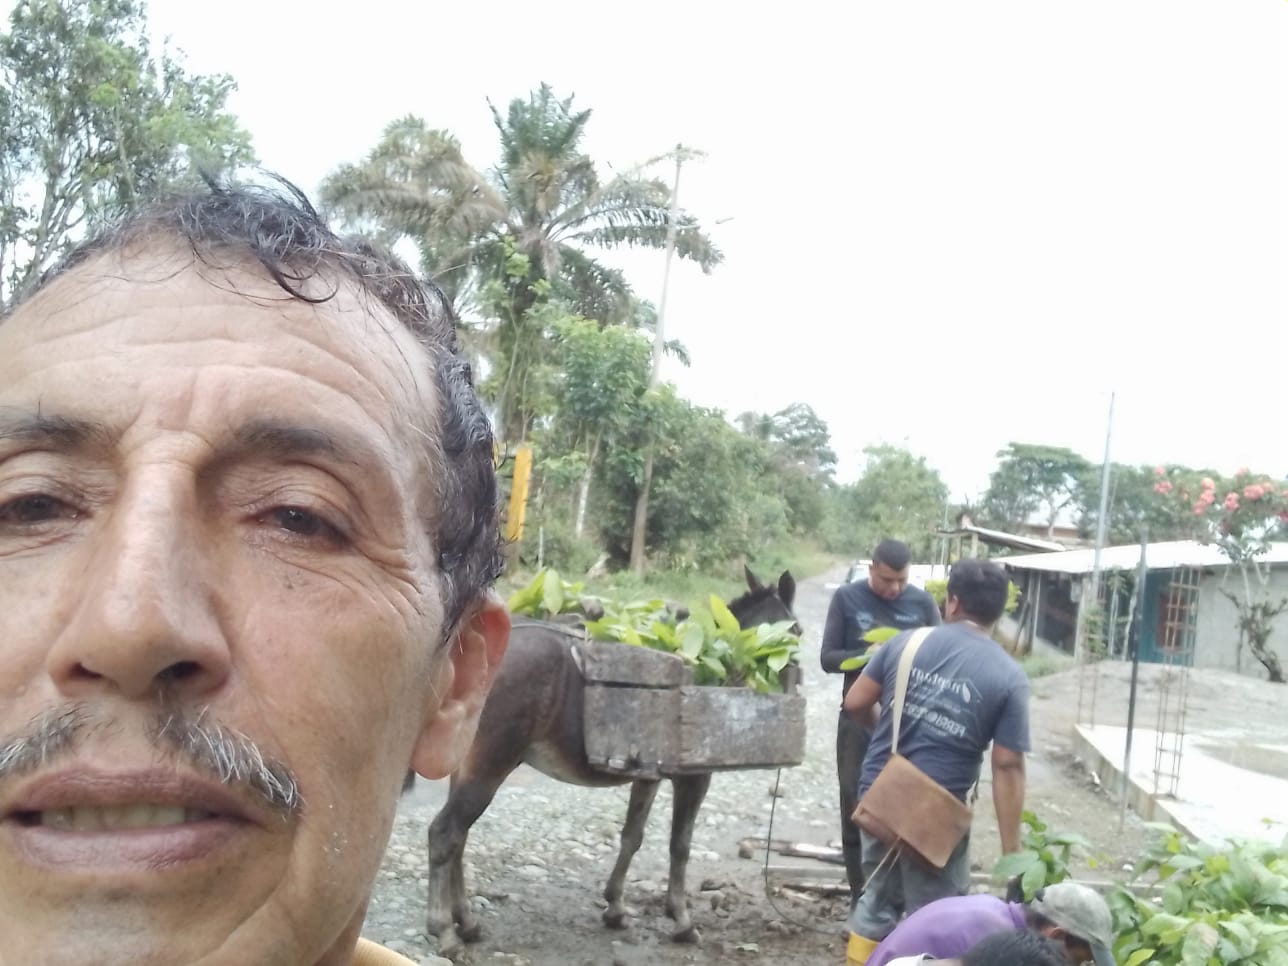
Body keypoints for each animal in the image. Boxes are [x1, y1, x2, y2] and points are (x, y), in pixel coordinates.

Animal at [424, 566, 799, 958]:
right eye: (798, 631)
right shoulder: (694, 777)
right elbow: (679, 846)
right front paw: (681, 919)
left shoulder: (648, 774)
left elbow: (632, 836)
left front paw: (616, 907)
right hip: (491, 765)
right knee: (446, 833)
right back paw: (444, 930)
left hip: (468, 765)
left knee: (459, 838)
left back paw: (466, 921)